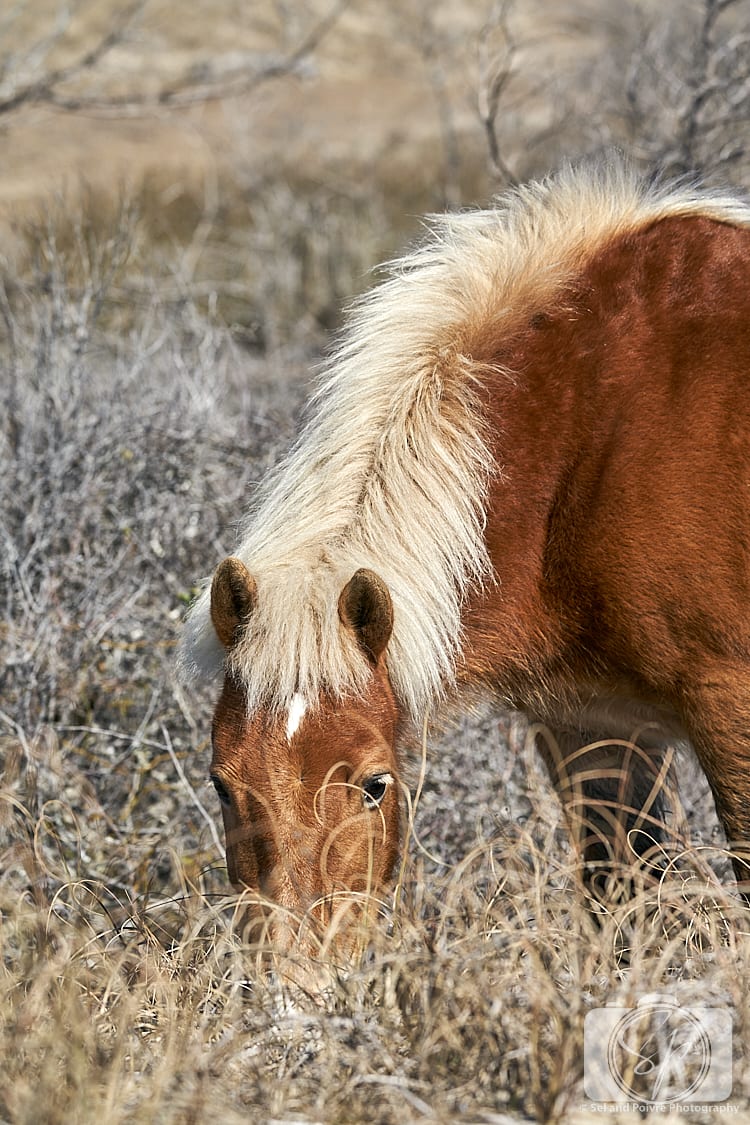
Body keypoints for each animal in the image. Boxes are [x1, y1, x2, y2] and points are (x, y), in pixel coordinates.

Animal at [181, 158, 750, 959]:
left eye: (376, 784)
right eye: (222, 785)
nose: (297, 978)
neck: (592, 437)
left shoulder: (729, 703)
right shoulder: (595, 727)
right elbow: (624, 892)